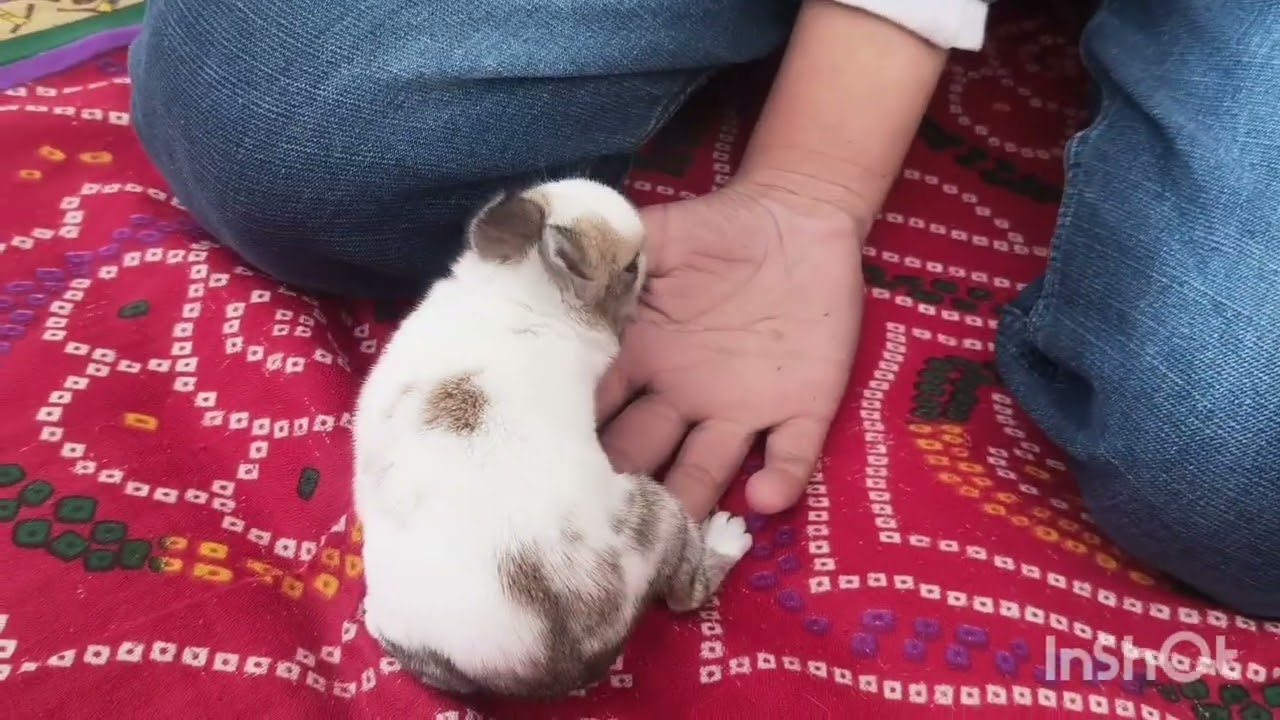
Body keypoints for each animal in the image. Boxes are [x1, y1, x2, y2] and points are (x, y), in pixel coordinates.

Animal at [351, 177, 754, 699]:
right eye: (629, 266)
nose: (649, 259)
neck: (521, 290)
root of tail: (554, 666)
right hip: (658, 512)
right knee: (687, 591)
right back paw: (728, 536)